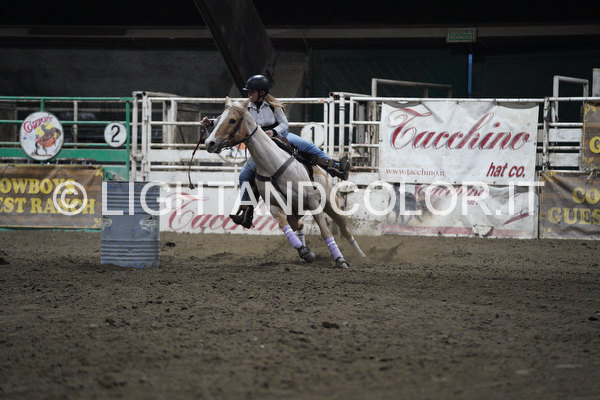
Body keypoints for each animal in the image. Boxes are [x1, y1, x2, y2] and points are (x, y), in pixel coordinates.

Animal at [204, 97, 366, 268]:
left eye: (232, 120)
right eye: (218, 118)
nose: (209, 143)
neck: (273, 167)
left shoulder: (313, 202)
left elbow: (325, 231)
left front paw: (340, 260)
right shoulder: (276, 207)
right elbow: (285, 227)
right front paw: (304, 252)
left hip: (330, 203)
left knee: (344, 228)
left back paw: (361, 256)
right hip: (295, 212)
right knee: (299, 225)